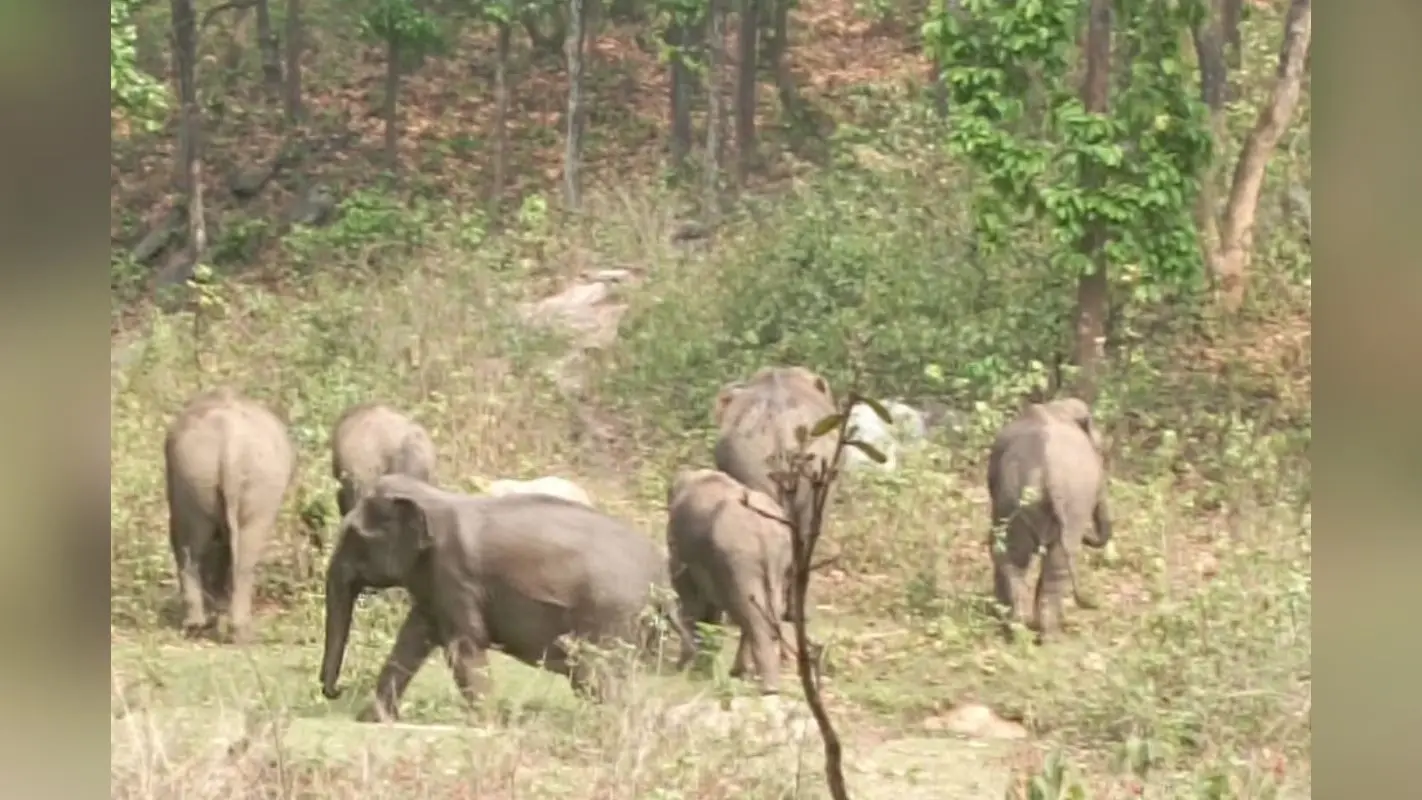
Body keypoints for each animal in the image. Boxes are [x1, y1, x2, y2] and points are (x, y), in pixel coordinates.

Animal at [164, 387, 297, 643]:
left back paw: (201, 627)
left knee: (192, 544)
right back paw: (237, 633)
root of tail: (231, 441)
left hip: (198, 474)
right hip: (237, 480)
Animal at [319, 474, 696, 722]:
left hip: (611, 616)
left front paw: (486, 724)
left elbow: (464, 645)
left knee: (594, 674)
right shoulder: (434, 583)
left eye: (354, 536)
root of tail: (662, 582)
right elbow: (412, 639)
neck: (435, 498)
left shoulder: (455, 574)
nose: (336, 690)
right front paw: (373, 719)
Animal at [666, 468, 799, 695]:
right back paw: (744, 673)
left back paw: (768, 686)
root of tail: (764, 531)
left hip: (739, 560)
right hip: (778, 562)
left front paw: (684, 667)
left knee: (750, 613)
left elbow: (688, 593)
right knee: (761, 610)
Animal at [986, 397, 1113, 641]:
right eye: (1102, 454)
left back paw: (1022, 631)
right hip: (1064, 502)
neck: (1058, 409)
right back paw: (1042, 635)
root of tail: (1047, 473)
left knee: (1018, 557)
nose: (1095, 603)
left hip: (1020, 500)